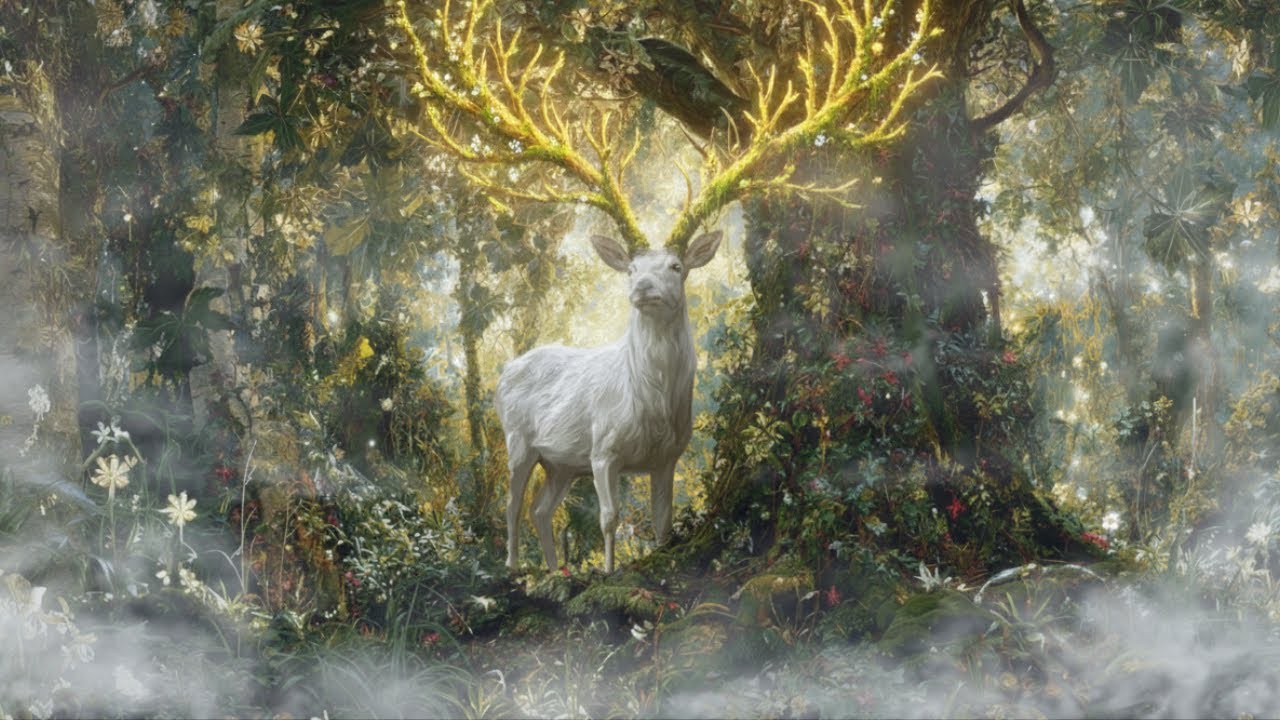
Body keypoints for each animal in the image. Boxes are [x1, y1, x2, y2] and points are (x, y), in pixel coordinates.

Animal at [395, 0, 941, 571]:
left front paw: (642, 559)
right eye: (632, 268)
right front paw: (608, 573)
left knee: (544, 509)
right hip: (518, 438)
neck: (652, 405)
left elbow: (662, 523)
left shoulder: (666, 458)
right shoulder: (604, 449)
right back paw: (514, 567)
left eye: (677, 266)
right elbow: (610, 518)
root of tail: (507, 368)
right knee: (511, 505)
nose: (644, 290)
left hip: (561, 461)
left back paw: (555, 570)